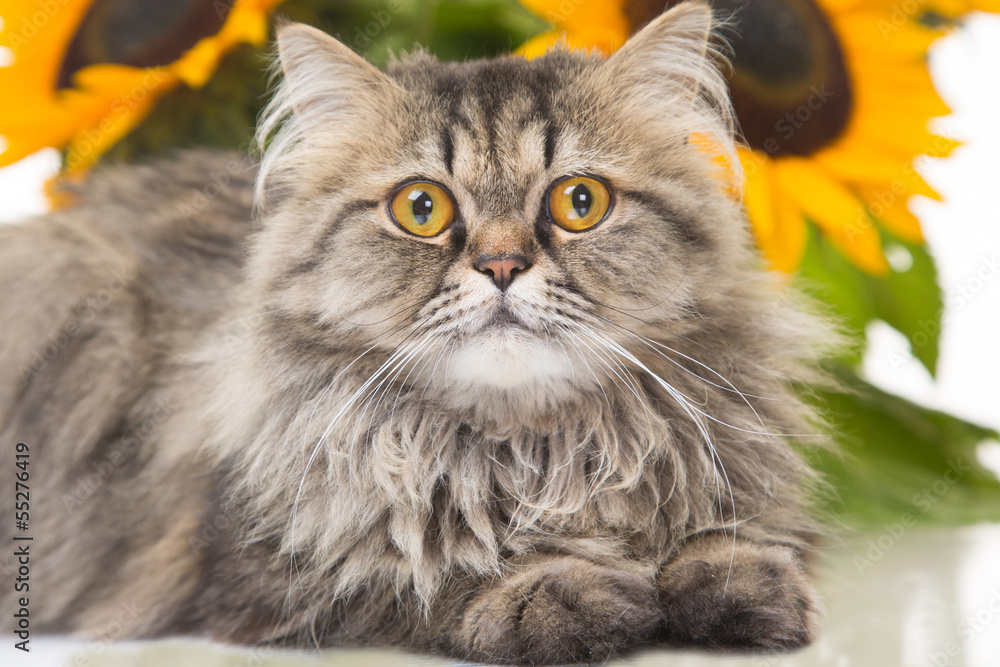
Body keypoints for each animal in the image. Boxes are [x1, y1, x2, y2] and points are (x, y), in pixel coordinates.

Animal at [0, 2, 832, 664]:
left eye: (581, 202)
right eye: (422, 209)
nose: (501, 264)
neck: (532, 450)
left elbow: (734, 539)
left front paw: (736, 580)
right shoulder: (261, 575)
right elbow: (425, 570)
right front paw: (565, 589)